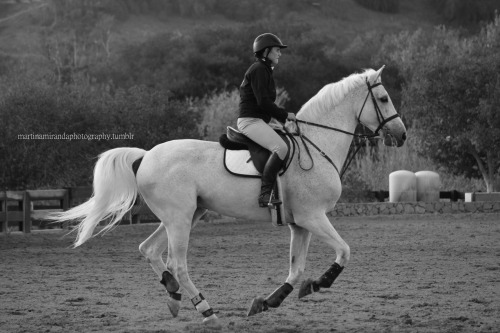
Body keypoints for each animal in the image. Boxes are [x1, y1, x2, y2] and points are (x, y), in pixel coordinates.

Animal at [50, 66, 406, 326]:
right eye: (383, 98)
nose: (401, 135)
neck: (317, 146)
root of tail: (146, 156)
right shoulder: (313, 217)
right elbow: (344, 252)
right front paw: (318, 284)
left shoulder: (300, 223)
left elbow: (296, 269)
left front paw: (266, 302)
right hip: (180, 219)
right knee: (177, 263)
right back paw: (205, 310)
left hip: (187, 215)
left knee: (149, 250)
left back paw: (174, 297)